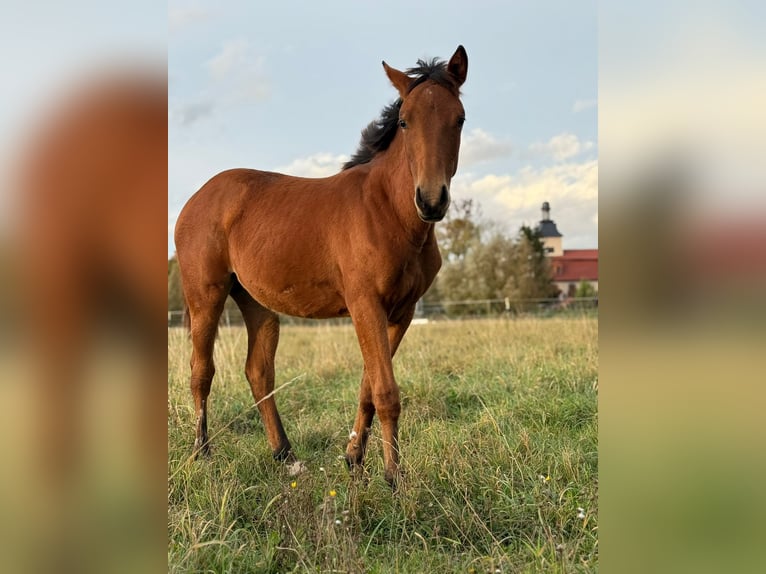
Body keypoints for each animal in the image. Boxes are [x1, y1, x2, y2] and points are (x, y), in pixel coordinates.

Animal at [174, 46, 468, 486]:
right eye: (405, 121)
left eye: (460, 118)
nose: (431, 200)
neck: (388, 211)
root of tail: (197, 198)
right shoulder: (365, 305)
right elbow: (386, 391)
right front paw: (393, 478)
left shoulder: (402, 312)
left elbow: (368, 387)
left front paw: (354, 458)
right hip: (205, 297)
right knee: (201, 370)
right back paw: (202, 453)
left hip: (258, 304)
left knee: (258, 371)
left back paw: (286, 455)